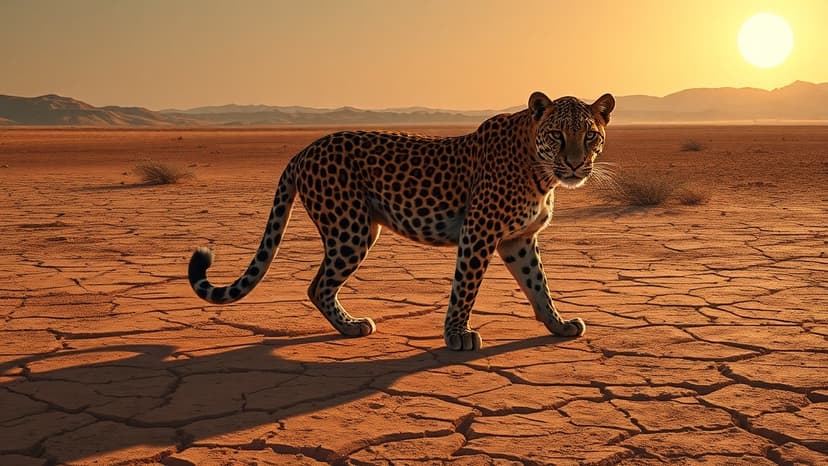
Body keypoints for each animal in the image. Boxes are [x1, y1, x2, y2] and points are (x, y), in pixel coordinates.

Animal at [188, 91, 615, 351]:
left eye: (590, 136)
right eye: (557, 135)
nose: (575, 164)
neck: (541, 172)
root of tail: (304, 149)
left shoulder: (518, 240)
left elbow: (539, 284)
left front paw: (558, 325)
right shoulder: (478, 233)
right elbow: (465, 288)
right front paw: (457, 335)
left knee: (318, 285)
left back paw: (348, 326)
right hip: (352, 230)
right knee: (318, 285)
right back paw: (352, 326)